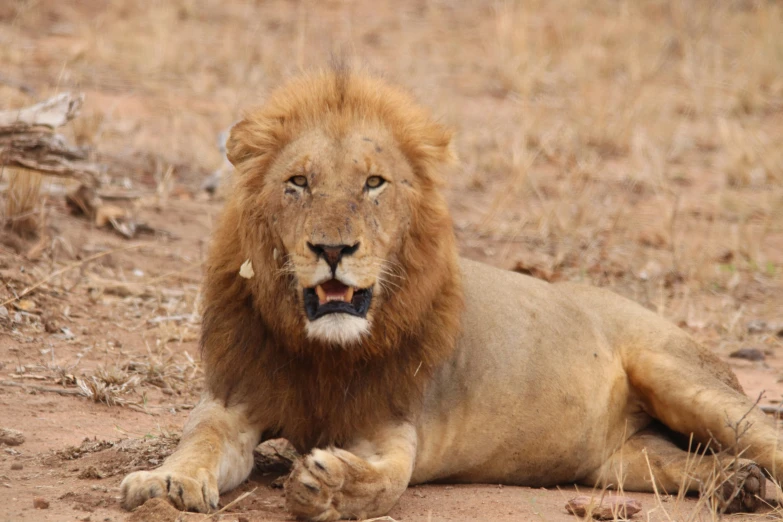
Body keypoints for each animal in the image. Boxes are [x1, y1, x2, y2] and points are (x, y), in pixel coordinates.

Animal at [119, 68, 780, 516]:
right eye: (298, 182)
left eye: (374, 183)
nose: (332, 249)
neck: (322, 352)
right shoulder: (235, 398)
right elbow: (199, 439)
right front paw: (166, 482)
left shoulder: (391, 426)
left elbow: (386, 480)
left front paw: (330, 485)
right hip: (624, 460)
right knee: (680, 462)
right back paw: (738, 485)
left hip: (679, 377)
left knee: (765, 437)